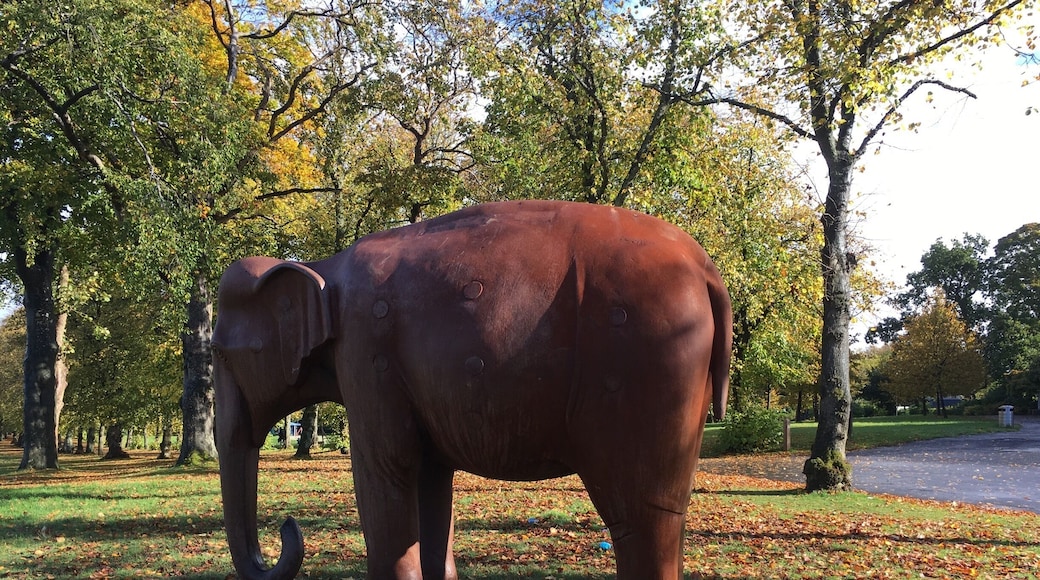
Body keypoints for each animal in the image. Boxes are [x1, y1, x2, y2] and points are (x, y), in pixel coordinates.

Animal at [212, 199, 732, 580]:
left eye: (219, 350)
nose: (287, 527)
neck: (323, 269)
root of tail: (706, 268)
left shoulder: (366, 357)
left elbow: (386, 474)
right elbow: (430, 486)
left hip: (644, 369)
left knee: (640, 518)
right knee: (666, 517)